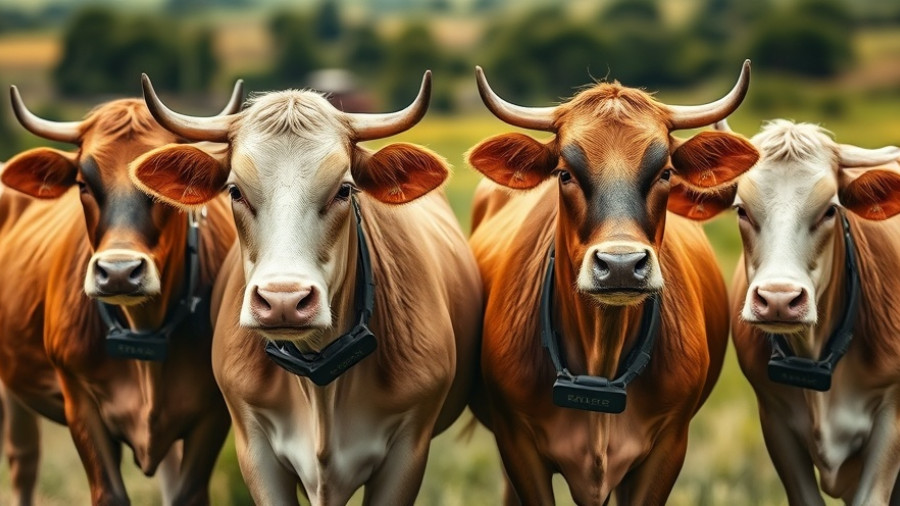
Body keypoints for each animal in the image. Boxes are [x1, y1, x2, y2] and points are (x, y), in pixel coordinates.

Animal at [0, 84, 241, 505]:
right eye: (83, 184)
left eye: (160, 188)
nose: (118, 273)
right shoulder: (79, 402)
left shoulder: (212, 415)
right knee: (23, 462)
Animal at [466, 61, 760, 505]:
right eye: (564, 173)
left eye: (666, 172)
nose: (621, 265)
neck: (601, 355)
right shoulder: (517, 445)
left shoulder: (668, 446)